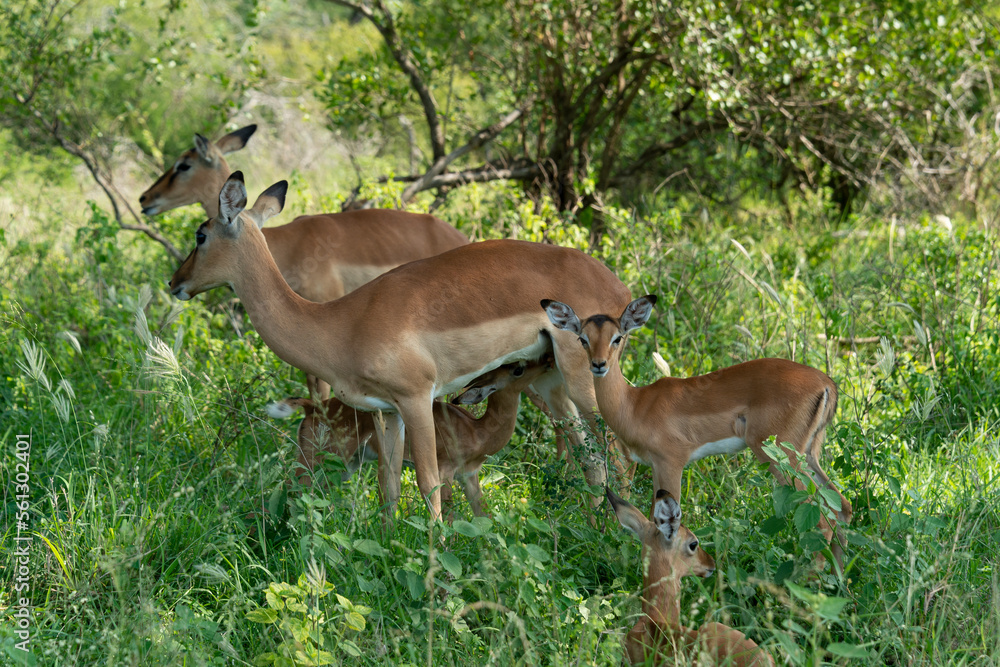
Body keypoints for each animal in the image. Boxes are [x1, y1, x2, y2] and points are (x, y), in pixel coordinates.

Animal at [267, 358, 553, 516]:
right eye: (517, 369)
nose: (548, 361)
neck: (477, 431)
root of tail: (311, 408)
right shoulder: (446, 471)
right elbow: (449, 513)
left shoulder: (469, 475)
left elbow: (483, 516)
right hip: (317, 460)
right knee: (288, 489)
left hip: (345, 466)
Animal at [544, 295, 853, 565]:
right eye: (583, 338)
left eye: (617, 337)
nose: (599, 365)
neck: (634, 405)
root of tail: (826, 384)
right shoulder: (655, 466)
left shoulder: (671, 463)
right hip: (808, 453)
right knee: (842, 508)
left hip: (780, 456)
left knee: (824, 521)